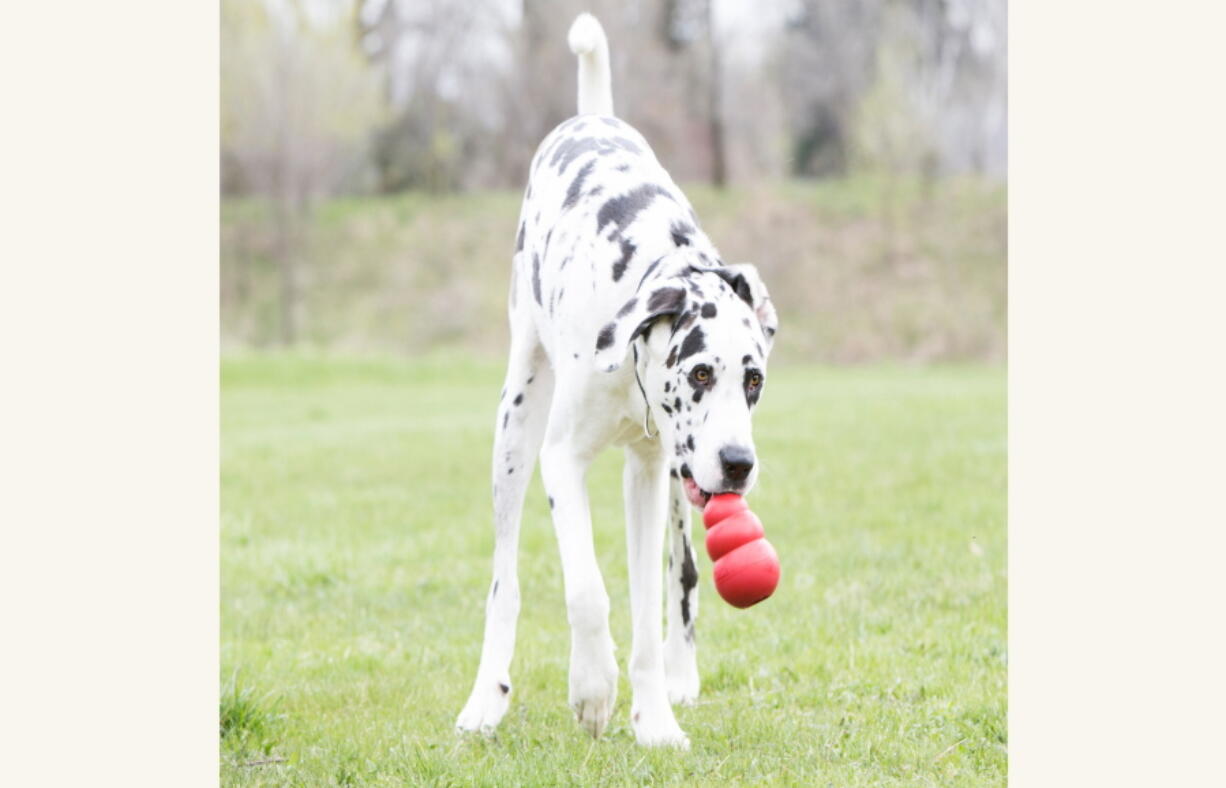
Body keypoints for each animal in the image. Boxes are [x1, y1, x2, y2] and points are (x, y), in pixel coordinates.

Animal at [456, 13, 779, 750]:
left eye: (753, 381)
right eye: (699, 371)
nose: (739, 462)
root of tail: (591, 116)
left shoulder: (651, 475)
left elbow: (648, 608)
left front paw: (654, 718)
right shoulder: (561, 461)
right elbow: (587, 591)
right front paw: (594, 689)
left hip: (680, 483)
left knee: (682, 570)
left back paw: (682, 676)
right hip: (515, 430)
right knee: (504, 582)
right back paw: (486, 699)